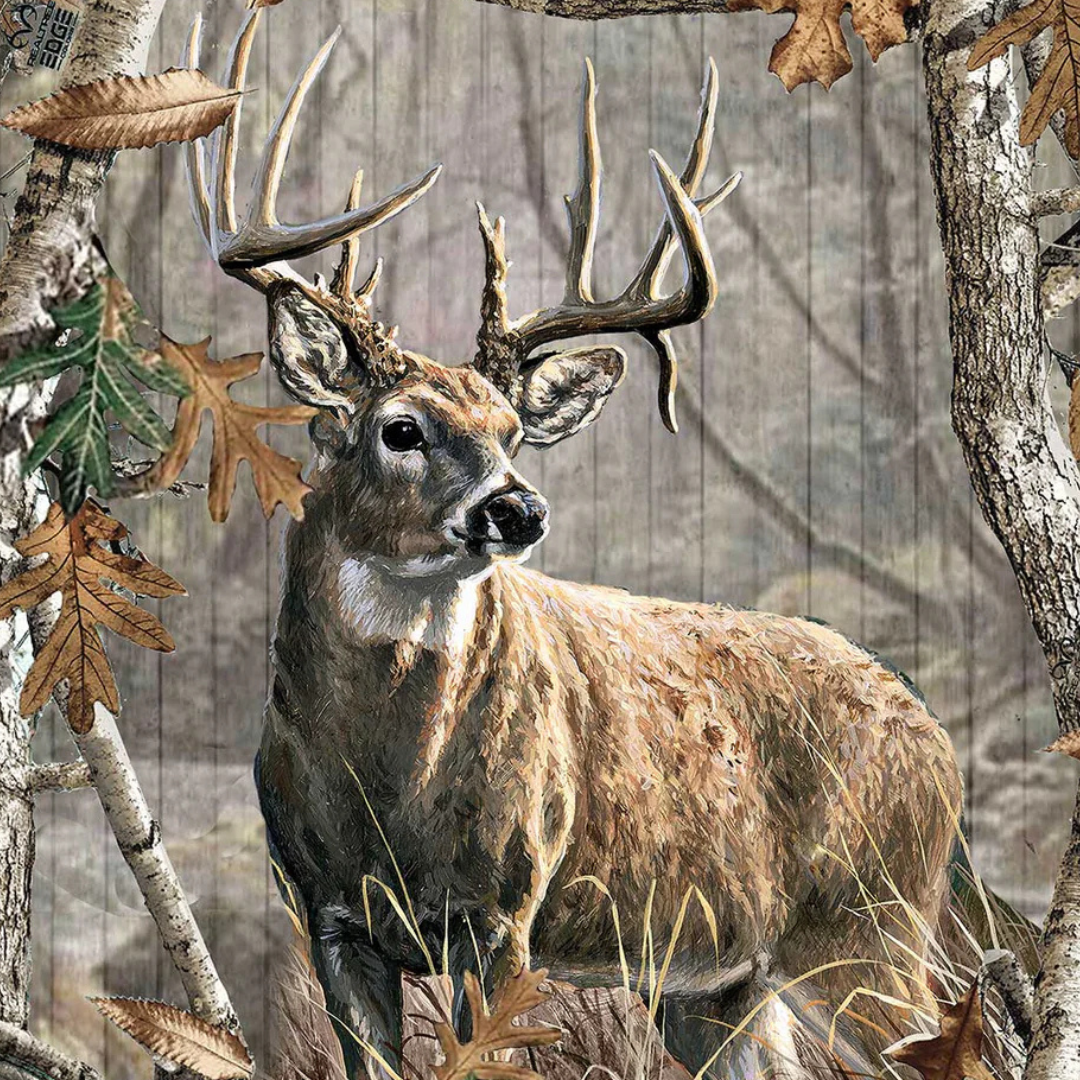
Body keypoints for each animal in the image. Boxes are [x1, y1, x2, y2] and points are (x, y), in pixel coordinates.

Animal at [183, 11, 964, 1079]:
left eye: (512, 428)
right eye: (400, 428)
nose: (519, 509)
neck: (386, 791)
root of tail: (935, 734)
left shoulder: (505, 907)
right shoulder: (328, 917)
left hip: (869, 926)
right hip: (723, 985)